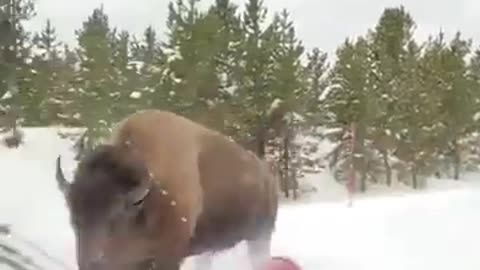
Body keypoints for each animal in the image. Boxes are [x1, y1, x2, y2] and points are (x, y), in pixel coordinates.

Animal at [55, 110, 282, 270]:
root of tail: (269, 179)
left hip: (260, 237)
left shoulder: (168, 255)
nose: (90, 263)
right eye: (74, 218)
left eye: (115, 217)